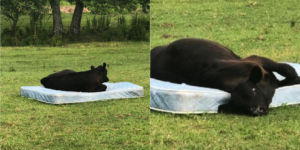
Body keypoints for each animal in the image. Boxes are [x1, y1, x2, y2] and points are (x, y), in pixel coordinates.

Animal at [151, 38, 300, 116]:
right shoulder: (255, 59)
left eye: (253, 90)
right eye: (242, 107)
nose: (258, 109)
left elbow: (289, 70)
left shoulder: (257, 60)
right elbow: (290, 73)